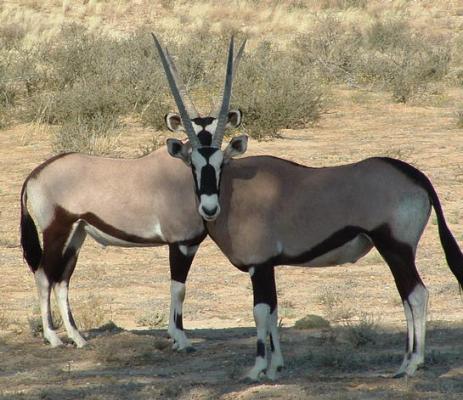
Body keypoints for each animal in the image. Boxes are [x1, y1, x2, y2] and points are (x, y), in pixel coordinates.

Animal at [20, 36, 248, 350]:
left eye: (221, 163)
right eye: (193, 163)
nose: (210, 209)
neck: (184, 182)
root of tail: (35, 173)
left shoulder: (190, 244)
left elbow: (180, 287)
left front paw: (175, 335)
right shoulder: (178, 244)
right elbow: (178, 289)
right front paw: (180, 339)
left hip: (76, 234)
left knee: (62, 279)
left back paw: (78, 338)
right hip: (57, 230)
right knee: (44, 275)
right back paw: (54, 337)